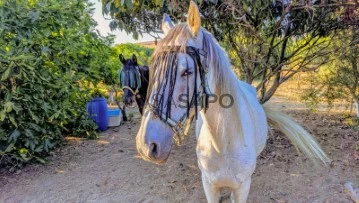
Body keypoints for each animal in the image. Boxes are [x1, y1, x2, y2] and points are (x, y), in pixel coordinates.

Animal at [136, 1, 330, 201]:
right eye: (153, 69)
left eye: (187, 71)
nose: (146, 145)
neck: (223, 143)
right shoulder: (209, 186)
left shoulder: (242, 188)